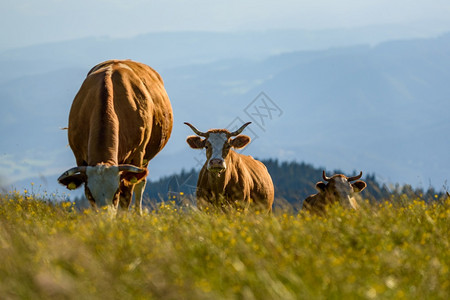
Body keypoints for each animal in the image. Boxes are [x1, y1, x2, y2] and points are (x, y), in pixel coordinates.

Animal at [57, 59, 172, 213]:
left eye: (116, 194)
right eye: (90, 194)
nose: (105, 217)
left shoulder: (137, 155)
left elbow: (127, 196)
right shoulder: (79, 156)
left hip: (145, 158)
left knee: (140, 186)